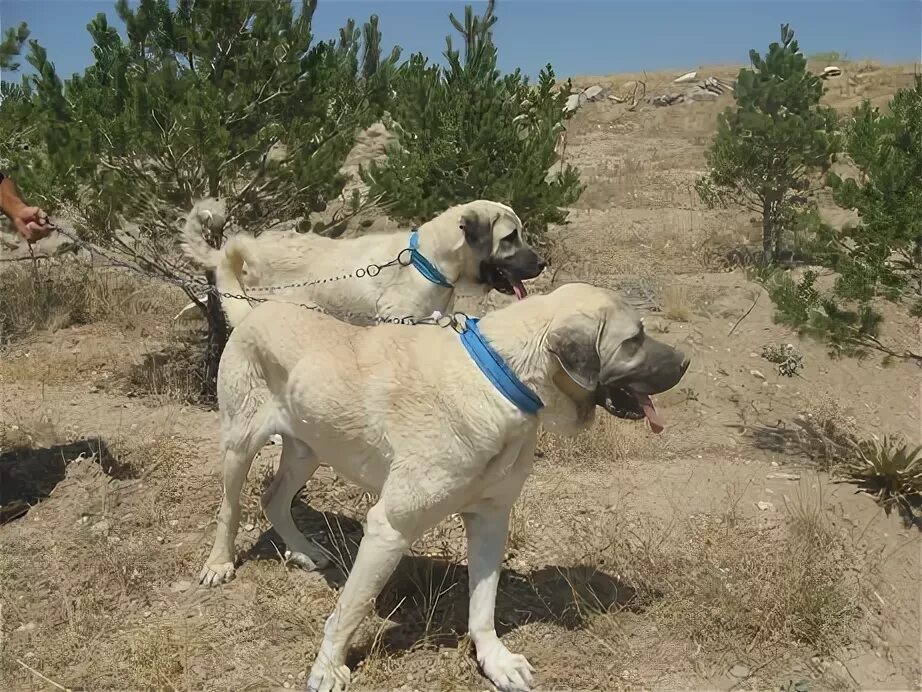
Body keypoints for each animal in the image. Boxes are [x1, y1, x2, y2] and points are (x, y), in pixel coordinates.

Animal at [201, 282, 688, 692]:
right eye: (634, 340)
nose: (686, 362)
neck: (501, 379)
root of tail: (257, 309)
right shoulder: (388, 530)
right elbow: (349, 611)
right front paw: (328, 668)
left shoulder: (490, 520)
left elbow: (483, 605)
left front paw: (494, 660)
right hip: (240, 446)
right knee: (231, 507)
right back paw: (219, 563)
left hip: (309, 449)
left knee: (274, 497)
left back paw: (304, 551)